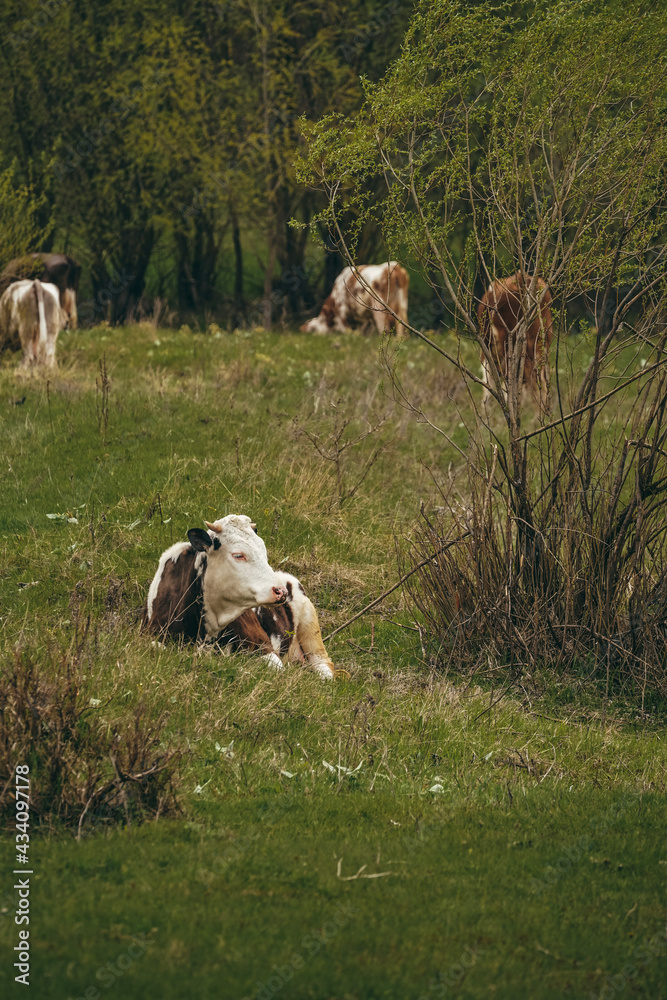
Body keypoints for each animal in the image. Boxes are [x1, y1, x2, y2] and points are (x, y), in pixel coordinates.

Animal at [142, 515, 335, 679]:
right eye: (238, 555)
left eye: (264, 553)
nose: (281, 592)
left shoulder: (263, 646)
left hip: (311, 632)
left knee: (325, 668)